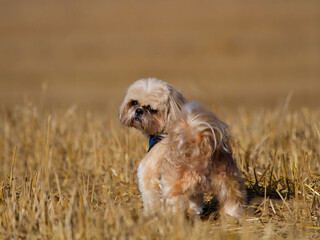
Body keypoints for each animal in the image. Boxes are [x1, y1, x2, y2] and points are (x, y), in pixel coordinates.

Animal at [119, 78, 246, 218]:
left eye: (152, 110)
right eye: (134, 102)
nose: (138, 110)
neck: (163, 132)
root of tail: (199, 146)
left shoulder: (148, 176)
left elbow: (150, 200)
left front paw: (149, 215)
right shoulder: (194, 193)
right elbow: (195, 203)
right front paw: (195, 213)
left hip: (173, 188)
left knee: (176, 206)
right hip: (228, 181)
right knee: (233, 198)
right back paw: (232, 216)